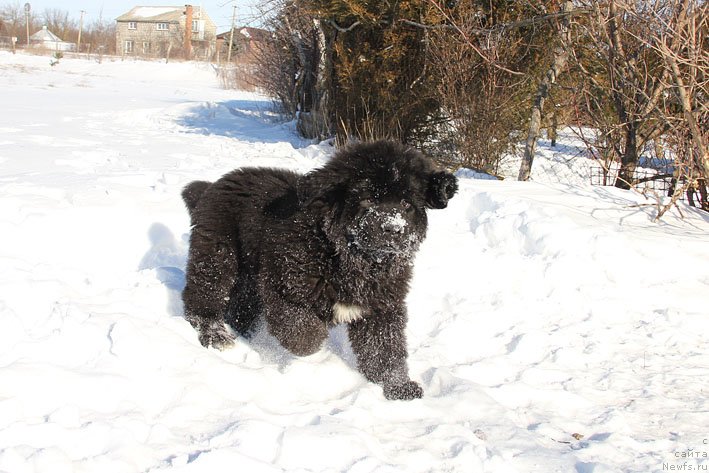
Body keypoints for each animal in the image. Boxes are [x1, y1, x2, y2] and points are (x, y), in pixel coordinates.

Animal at [183, 140, 456, 398]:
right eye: (368, 198)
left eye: (406, 203)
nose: (393, 228)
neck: (350, 258)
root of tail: (215, 184)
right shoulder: (284, 285)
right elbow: (302, 334)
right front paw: (315, 345)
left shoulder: (382, 307)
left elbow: (384, 348)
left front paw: (397, 386)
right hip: (218, 256)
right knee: (203, 296)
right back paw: (215, 334)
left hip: (247, 274)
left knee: (240, 306)